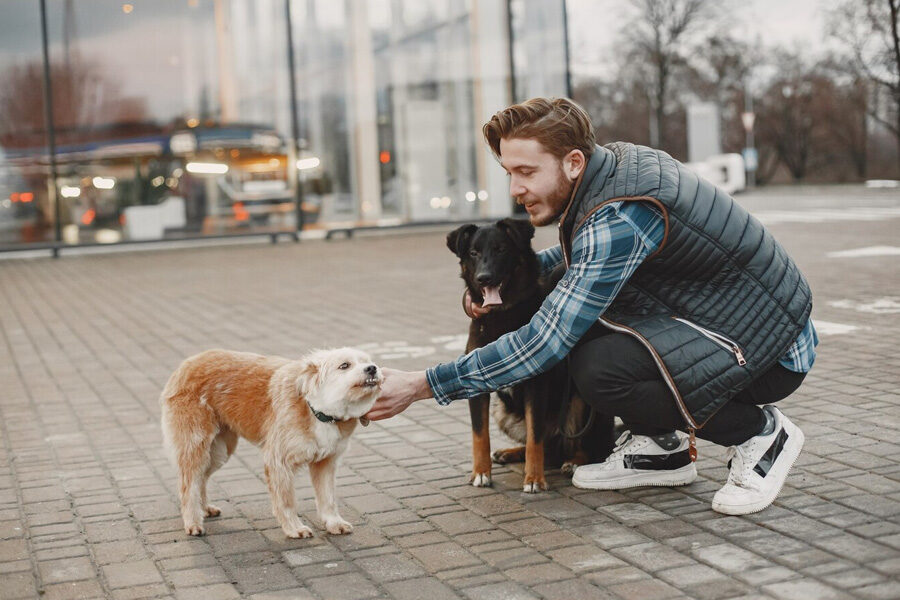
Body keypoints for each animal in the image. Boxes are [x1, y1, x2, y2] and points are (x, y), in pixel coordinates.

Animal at [160, 346, 382, 540]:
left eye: (367, 361)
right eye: (344, 365)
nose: (372, 368)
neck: (317, 410)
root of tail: (187, 364)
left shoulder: (325, 463)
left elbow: (327, 499)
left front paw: (334, 523)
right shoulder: (279, 462)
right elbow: (286, 501)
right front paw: (294, 528)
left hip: (218, 452)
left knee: (201, 479)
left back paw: (204, 508)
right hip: (196, 447)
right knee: (189, 485)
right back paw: (192, 522)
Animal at [446, 218, 616, 490]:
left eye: (501, 250)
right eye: (473, 253)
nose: (484, 278)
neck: (502, 313)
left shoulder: (536, 385)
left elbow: (535, 438)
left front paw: (534, 478)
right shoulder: (476, 383)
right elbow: (480, 435)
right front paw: (481, 472)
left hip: (580, 405)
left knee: (586, 447)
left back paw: (574, 462)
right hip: (502, 411)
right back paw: (510, 452)